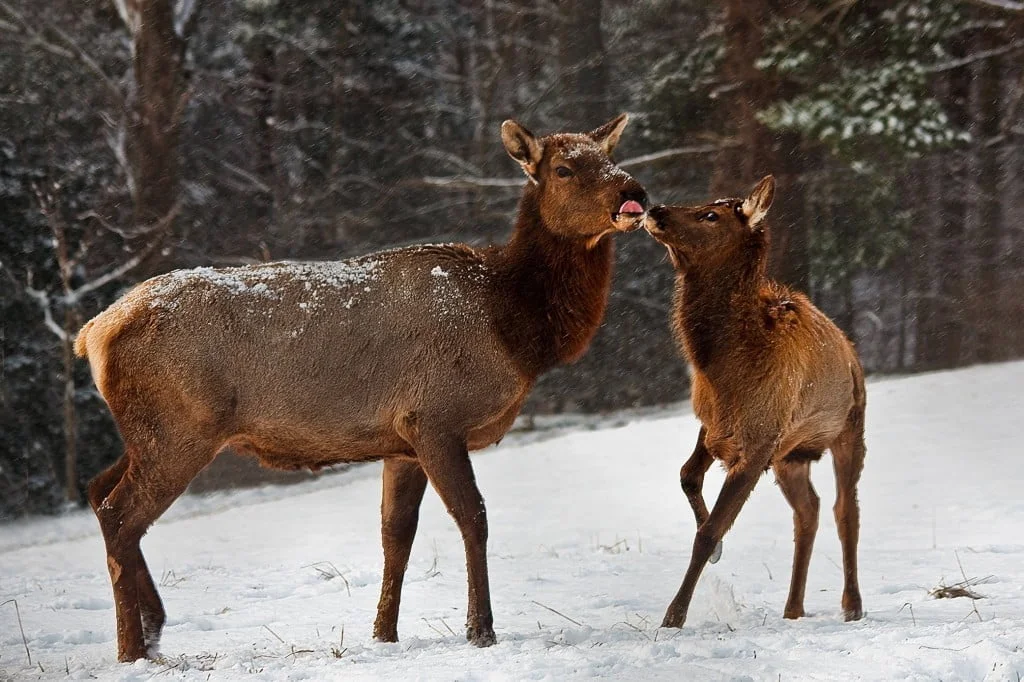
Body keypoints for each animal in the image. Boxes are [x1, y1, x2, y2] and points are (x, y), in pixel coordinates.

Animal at [74, 114, 648, 661]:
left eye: (610, 156)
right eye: (564, 169)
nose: (634, 193)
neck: (515, 328)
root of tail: (96, 332)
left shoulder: (400, 443)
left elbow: (396, 536)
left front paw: (383, 634)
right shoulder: (434, 417)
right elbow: (474, 518)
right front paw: (481, 630)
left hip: (152, 432)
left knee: (98, 491)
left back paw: (154, 628)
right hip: (180, 429)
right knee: (121, 515)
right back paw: (132, 649)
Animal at [642, 176, 865, 629]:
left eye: (710, 215)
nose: (654, 210)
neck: (724, 370)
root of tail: (850, 351)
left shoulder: (758, 443)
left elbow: (710, 531)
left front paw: (674, 615)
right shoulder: (715, 425)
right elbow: (686, 475)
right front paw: (717, 553)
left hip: (849, 429)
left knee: (844, 509)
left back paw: (852, 605)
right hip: (791, 455)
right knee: (809, 510)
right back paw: (793, 608)